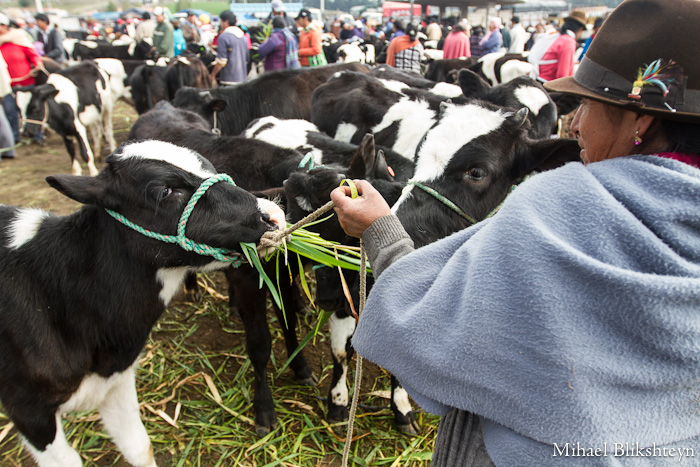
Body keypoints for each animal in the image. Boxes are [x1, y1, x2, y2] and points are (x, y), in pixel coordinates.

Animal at [0, 141, 286, 467]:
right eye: (164, 191)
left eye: (211, 168)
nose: (273, 216)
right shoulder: (29, 412)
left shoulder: (118, 380)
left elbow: (139, 447)